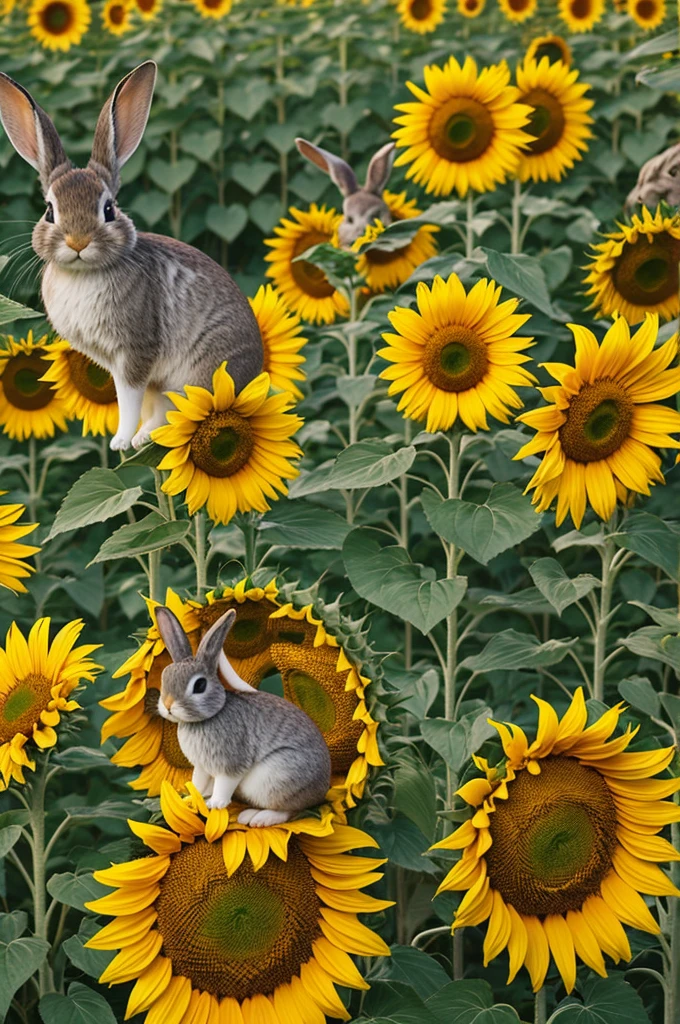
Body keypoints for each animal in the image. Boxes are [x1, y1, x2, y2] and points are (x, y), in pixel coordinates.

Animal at [0, 61, 262, 450]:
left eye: (109, 209)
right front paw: (124, 441)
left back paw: (142, 439)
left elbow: (128, 398)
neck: (84, 274)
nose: (78, 242)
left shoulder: (136, 350)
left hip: (199, 374)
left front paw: (119, 442)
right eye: (49, 211)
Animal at [154, 602, 333, 827]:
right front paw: (191, 799)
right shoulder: (202, 766)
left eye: (200, 685)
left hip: (274, 778)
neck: (207, 718)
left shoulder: (231, 763)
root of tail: (322, 791)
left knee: (290, 811)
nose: (168, 705)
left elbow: (224, 784)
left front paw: (215, 804)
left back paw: (258, 819)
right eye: (164, 679)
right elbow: (198, 781)